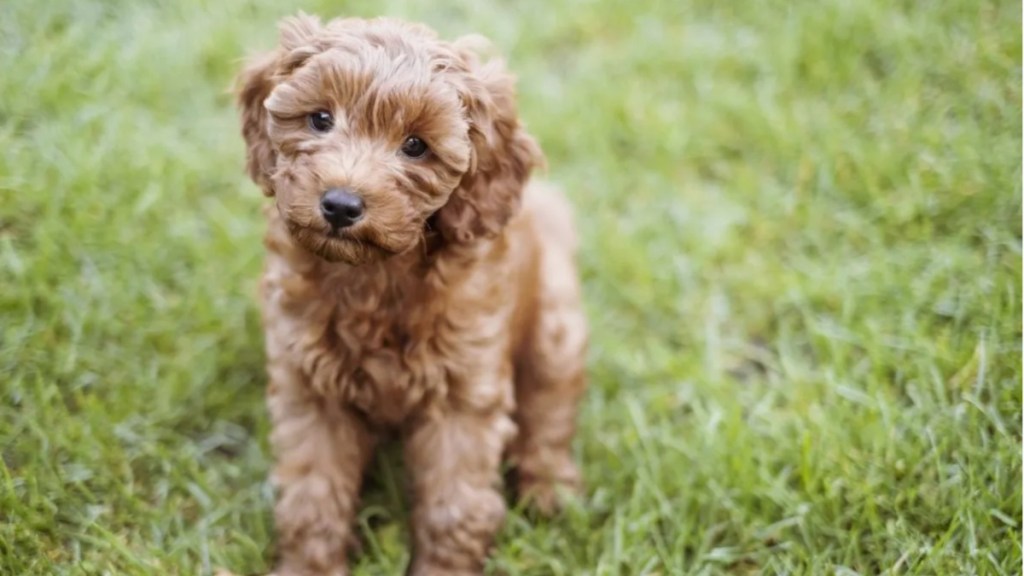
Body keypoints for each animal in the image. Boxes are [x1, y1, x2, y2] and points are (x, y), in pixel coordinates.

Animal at [233, 14, 585, 573]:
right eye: (320, 119)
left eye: (416, 145)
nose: (340, 205)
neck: (374, 276)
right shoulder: (308, 388)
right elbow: (312, 496)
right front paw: (309, 565)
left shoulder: (463, 395)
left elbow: (454, 507)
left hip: (556, 327)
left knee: (550, 411)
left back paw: (551, 491)